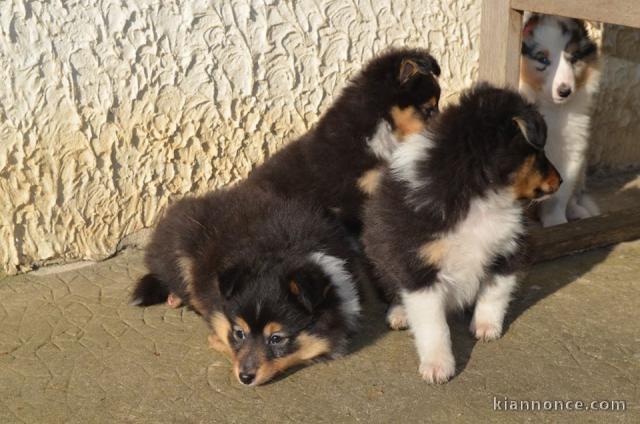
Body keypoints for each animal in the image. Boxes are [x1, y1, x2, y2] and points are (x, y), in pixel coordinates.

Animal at [362, 83, 564, 384]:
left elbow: (495, 291)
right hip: (379, 253)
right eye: (538, 153)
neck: (479, 196)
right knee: (393, 287)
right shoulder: (418, 265)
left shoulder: (510, 248)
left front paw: (486, 327)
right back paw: (399, 313)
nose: (561, 180)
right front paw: (438, 366)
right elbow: (433, 324)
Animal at [520, 12, 600, 225]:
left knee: (573, 197)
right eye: (543, 59)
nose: (565, 91)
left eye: (573, 59)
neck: (552, 109)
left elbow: (559, 196)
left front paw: (556, 223)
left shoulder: (572, 151)